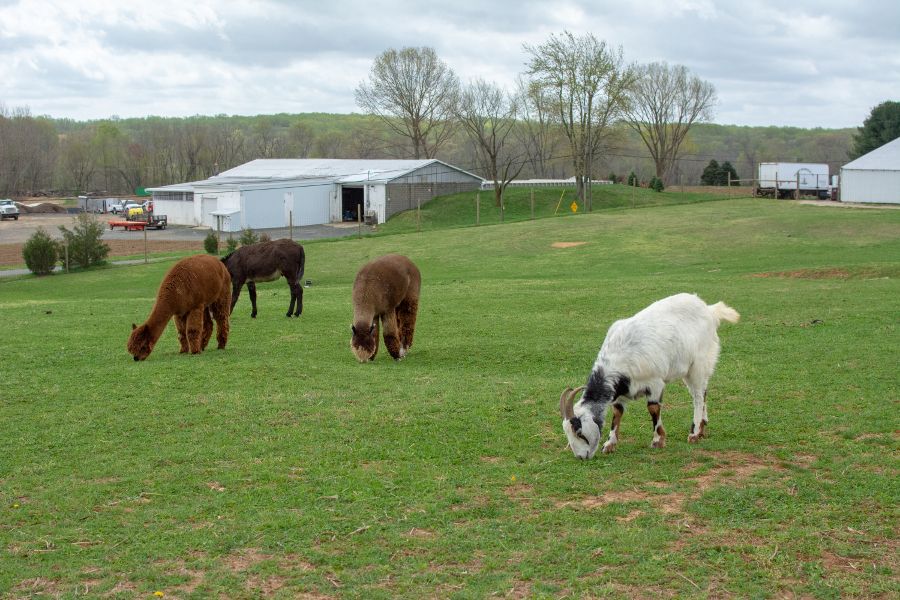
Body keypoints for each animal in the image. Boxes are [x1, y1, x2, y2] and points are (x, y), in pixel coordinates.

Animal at [564, 292, 740, 460]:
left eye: (580, 433)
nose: (581, 456)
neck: (621, 354)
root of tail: (709, 310)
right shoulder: (621, 389)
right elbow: (617, 412)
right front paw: (610, 444)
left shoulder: (655, 383)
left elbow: (653, 407)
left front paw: (658, 440)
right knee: (702, 392)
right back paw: (702, 427)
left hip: (699, 363)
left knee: (697, 396)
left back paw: (694, 433)